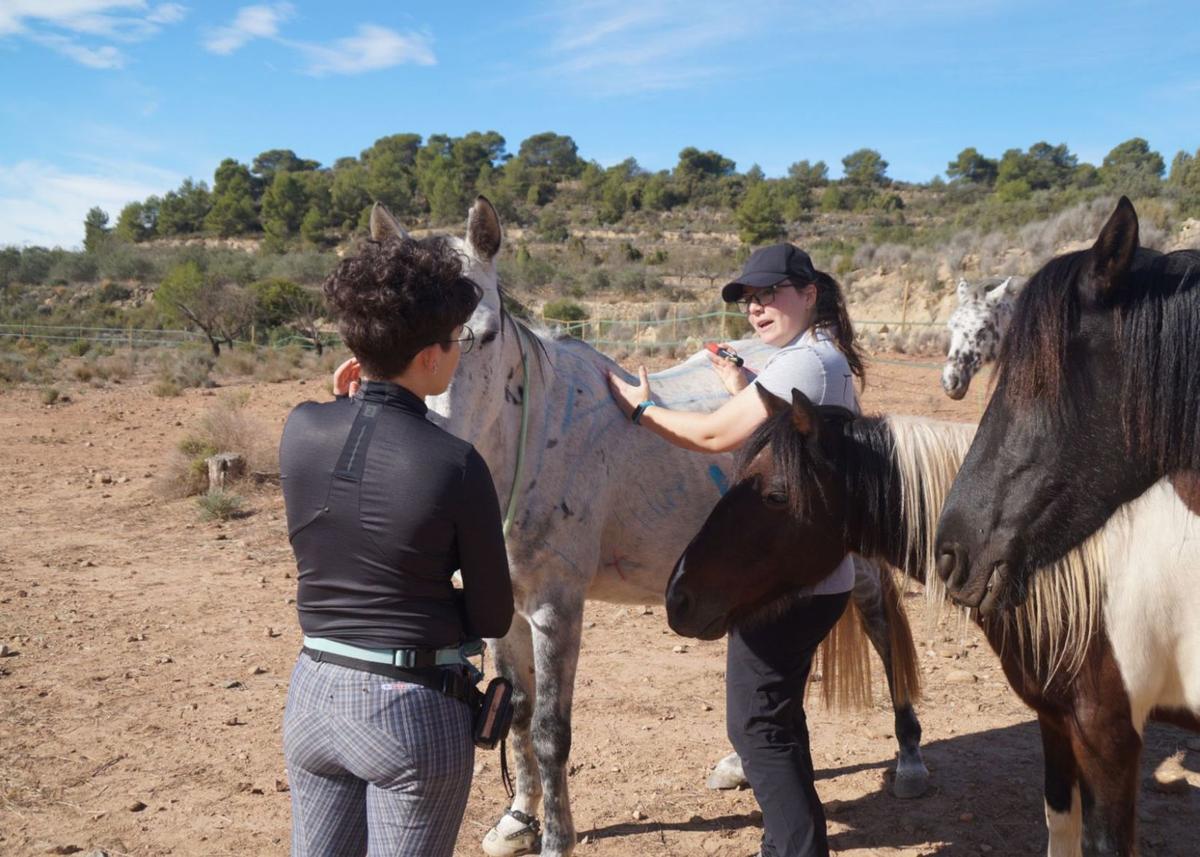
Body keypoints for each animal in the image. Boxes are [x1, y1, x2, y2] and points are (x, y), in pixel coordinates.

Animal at [369, 196, 931, 849]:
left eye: (481, 336)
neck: (532, 444)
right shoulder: (504, 613)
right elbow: (515, 717)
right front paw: (517, 821)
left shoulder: (556, 609)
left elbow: (550, 733)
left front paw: (556, 840)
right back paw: (738, 766)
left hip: (845, 563)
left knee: (880, 624)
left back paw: (910, 760)